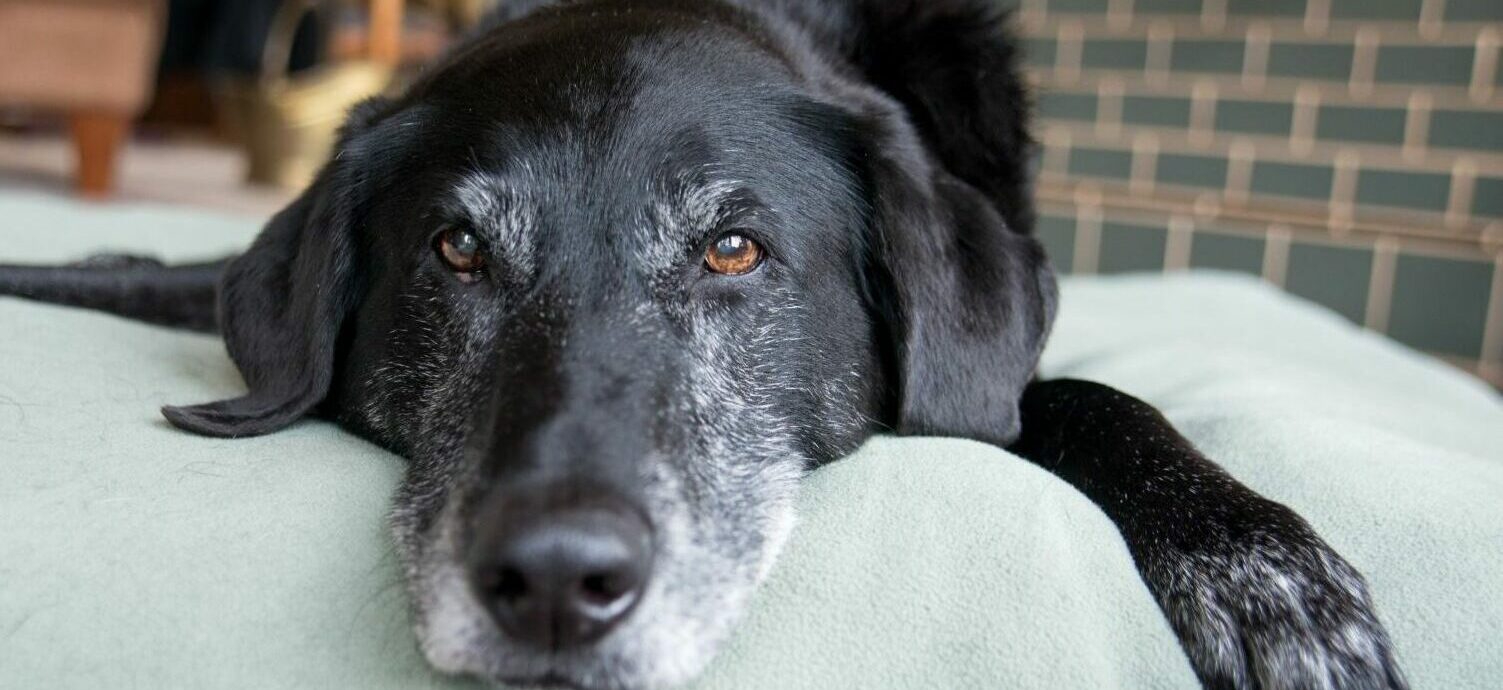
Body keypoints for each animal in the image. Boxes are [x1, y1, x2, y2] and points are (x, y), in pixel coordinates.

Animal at [0, 1, 1407, 688]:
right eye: (455, 251)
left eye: (733, 251)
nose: (555, 585)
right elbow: (141, 276)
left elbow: (1084, 399)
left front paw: (1263, 572)